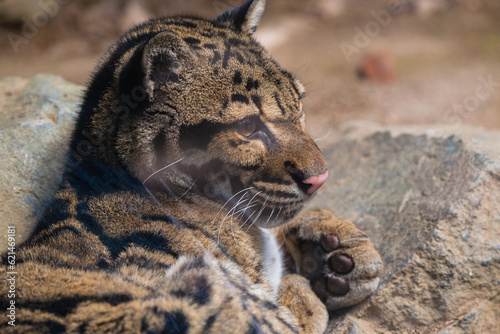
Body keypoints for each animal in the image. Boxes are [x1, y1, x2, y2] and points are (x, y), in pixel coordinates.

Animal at [0, 1, 382, 332]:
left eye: (299, 104)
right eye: (247, 127)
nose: (320, 178)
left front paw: (332, 247)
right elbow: (290, 303)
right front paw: (309, 273)